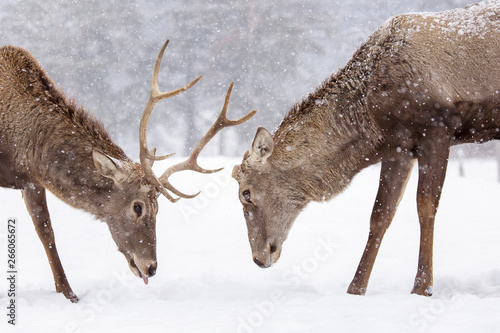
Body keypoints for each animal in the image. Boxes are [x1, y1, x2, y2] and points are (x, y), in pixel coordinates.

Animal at [0, 39, 256, 300]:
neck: (22, 146)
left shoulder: (31, 180)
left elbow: (46, 231)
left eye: (157, 208)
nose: (151, 267)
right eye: (137, 207)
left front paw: (68, 293)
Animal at [233, 0, 500, 296]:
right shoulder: (399, 144)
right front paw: (356, 288)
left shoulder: (437, 129)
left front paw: (423, 287)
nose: (259, 258)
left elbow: (425, 206)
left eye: (246, 193)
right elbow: (381, 214)